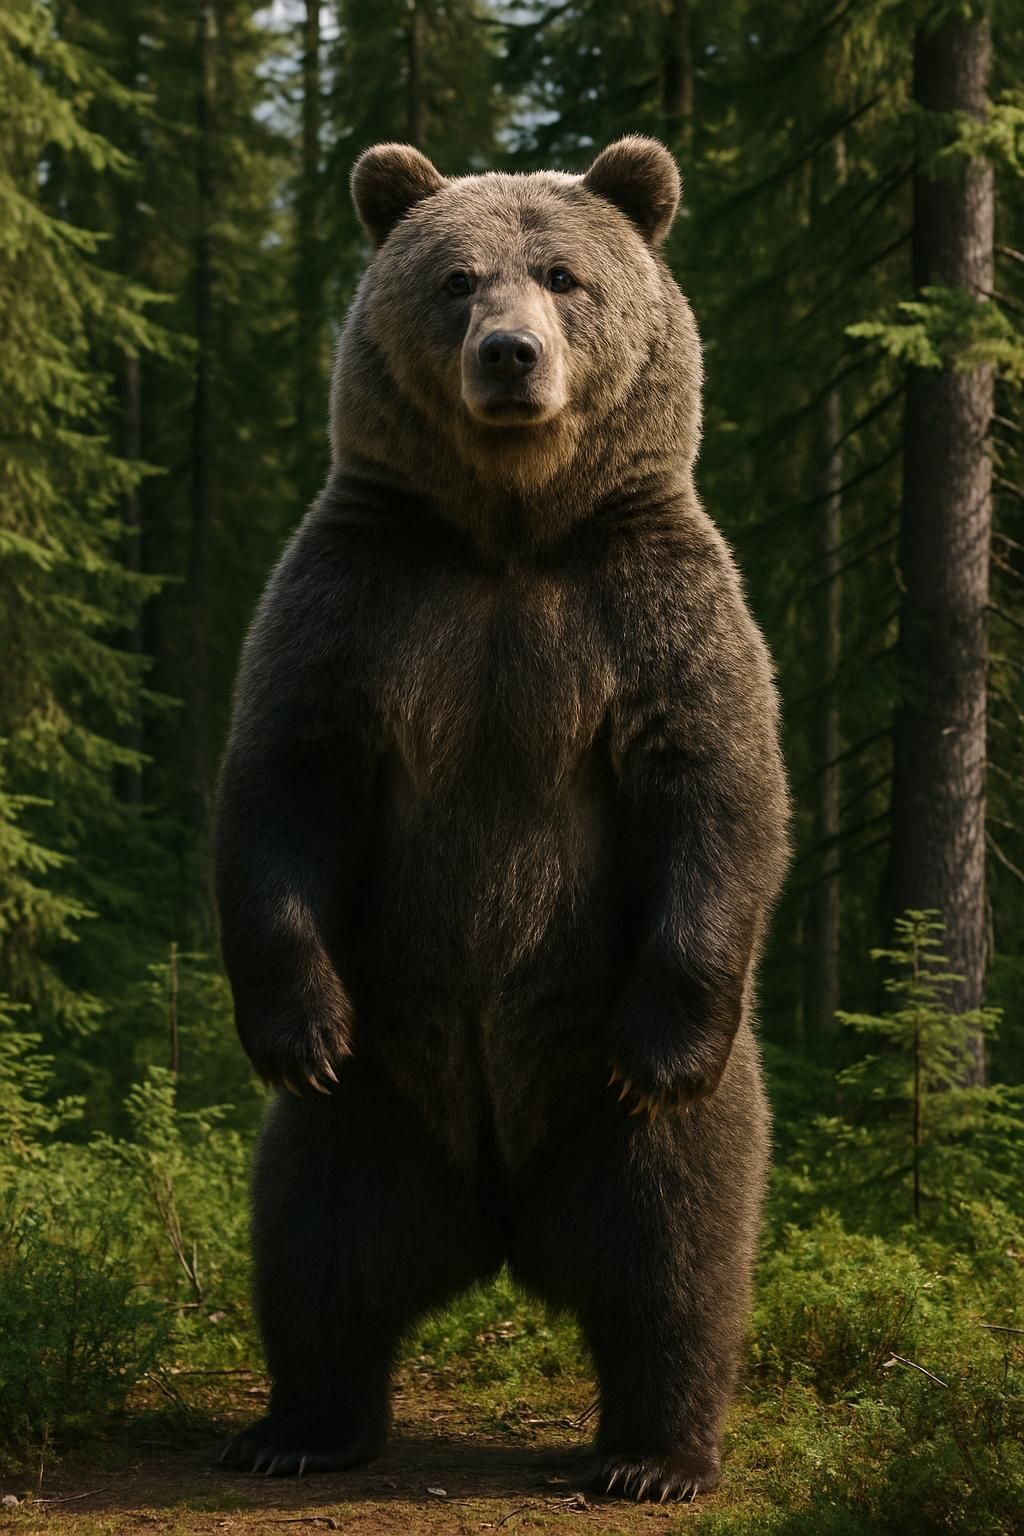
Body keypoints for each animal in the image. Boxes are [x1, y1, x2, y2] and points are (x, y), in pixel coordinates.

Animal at [215, 135, 790, 1503]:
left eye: (565, 276)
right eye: (455, 278)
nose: (510, 356)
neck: (510, 535)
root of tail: (496, 1219)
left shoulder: (650, 603)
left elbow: (716, 784)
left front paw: (665, 1043)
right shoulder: (364, 597)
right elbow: (285, 779)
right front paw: (292, 1027)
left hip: (607, 1091)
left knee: (674, 1252)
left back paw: (653, 1453)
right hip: (377, 1087)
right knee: (317, 1245)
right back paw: (296, 1428)